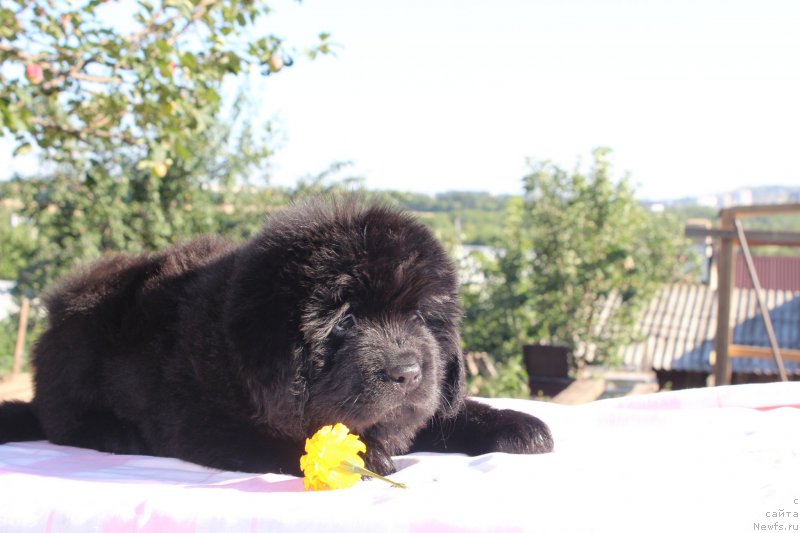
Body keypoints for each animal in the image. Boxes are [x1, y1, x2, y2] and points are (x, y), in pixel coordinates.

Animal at [0, 197, 552, 476]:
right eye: (344, 321)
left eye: (420, 316)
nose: (407, 372)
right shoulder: (201, 421)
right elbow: (290, 439)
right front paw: (361, 455)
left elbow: (448, 409)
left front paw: (519, 425)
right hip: (78, 343)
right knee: (61, 417)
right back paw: (112, 434)